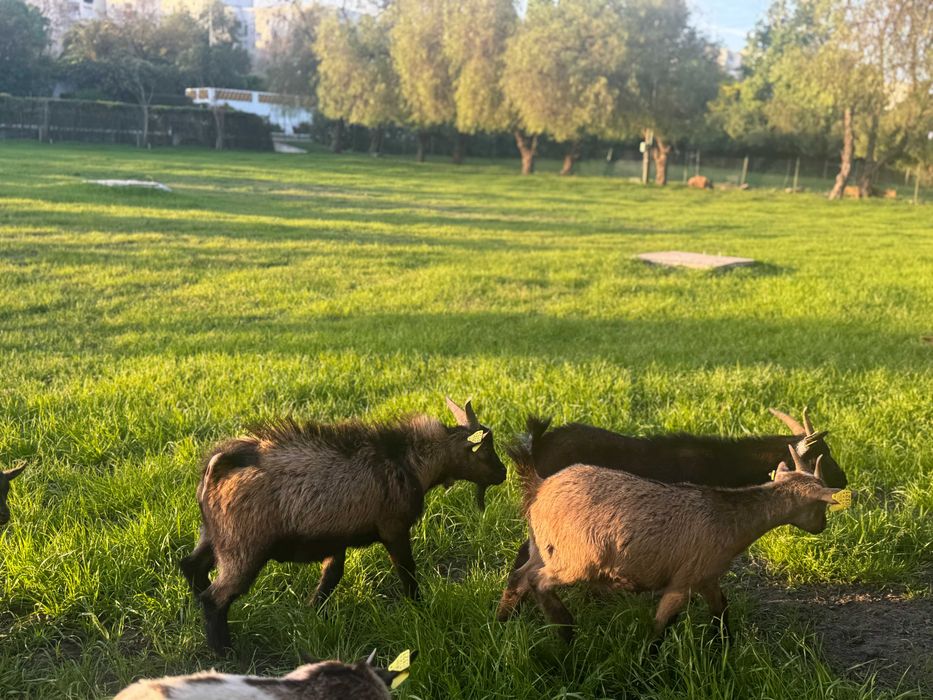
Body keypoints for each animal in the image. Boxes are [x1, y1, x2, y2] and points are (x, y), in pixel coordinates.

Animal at [180, 398, 506, 653]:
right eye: (485, 450)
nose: (502, 473)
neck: (409, 462)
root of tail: (218, 464)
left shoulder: (335, 536)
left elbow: (332, 575)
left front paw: (313, 611)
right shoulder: (394, 527)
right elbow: (407, 571)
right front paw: (419, 608)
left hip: (213, 535)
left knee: (191, 565)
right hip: (244, 548)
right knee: (216, 598)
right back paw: (226, 652)